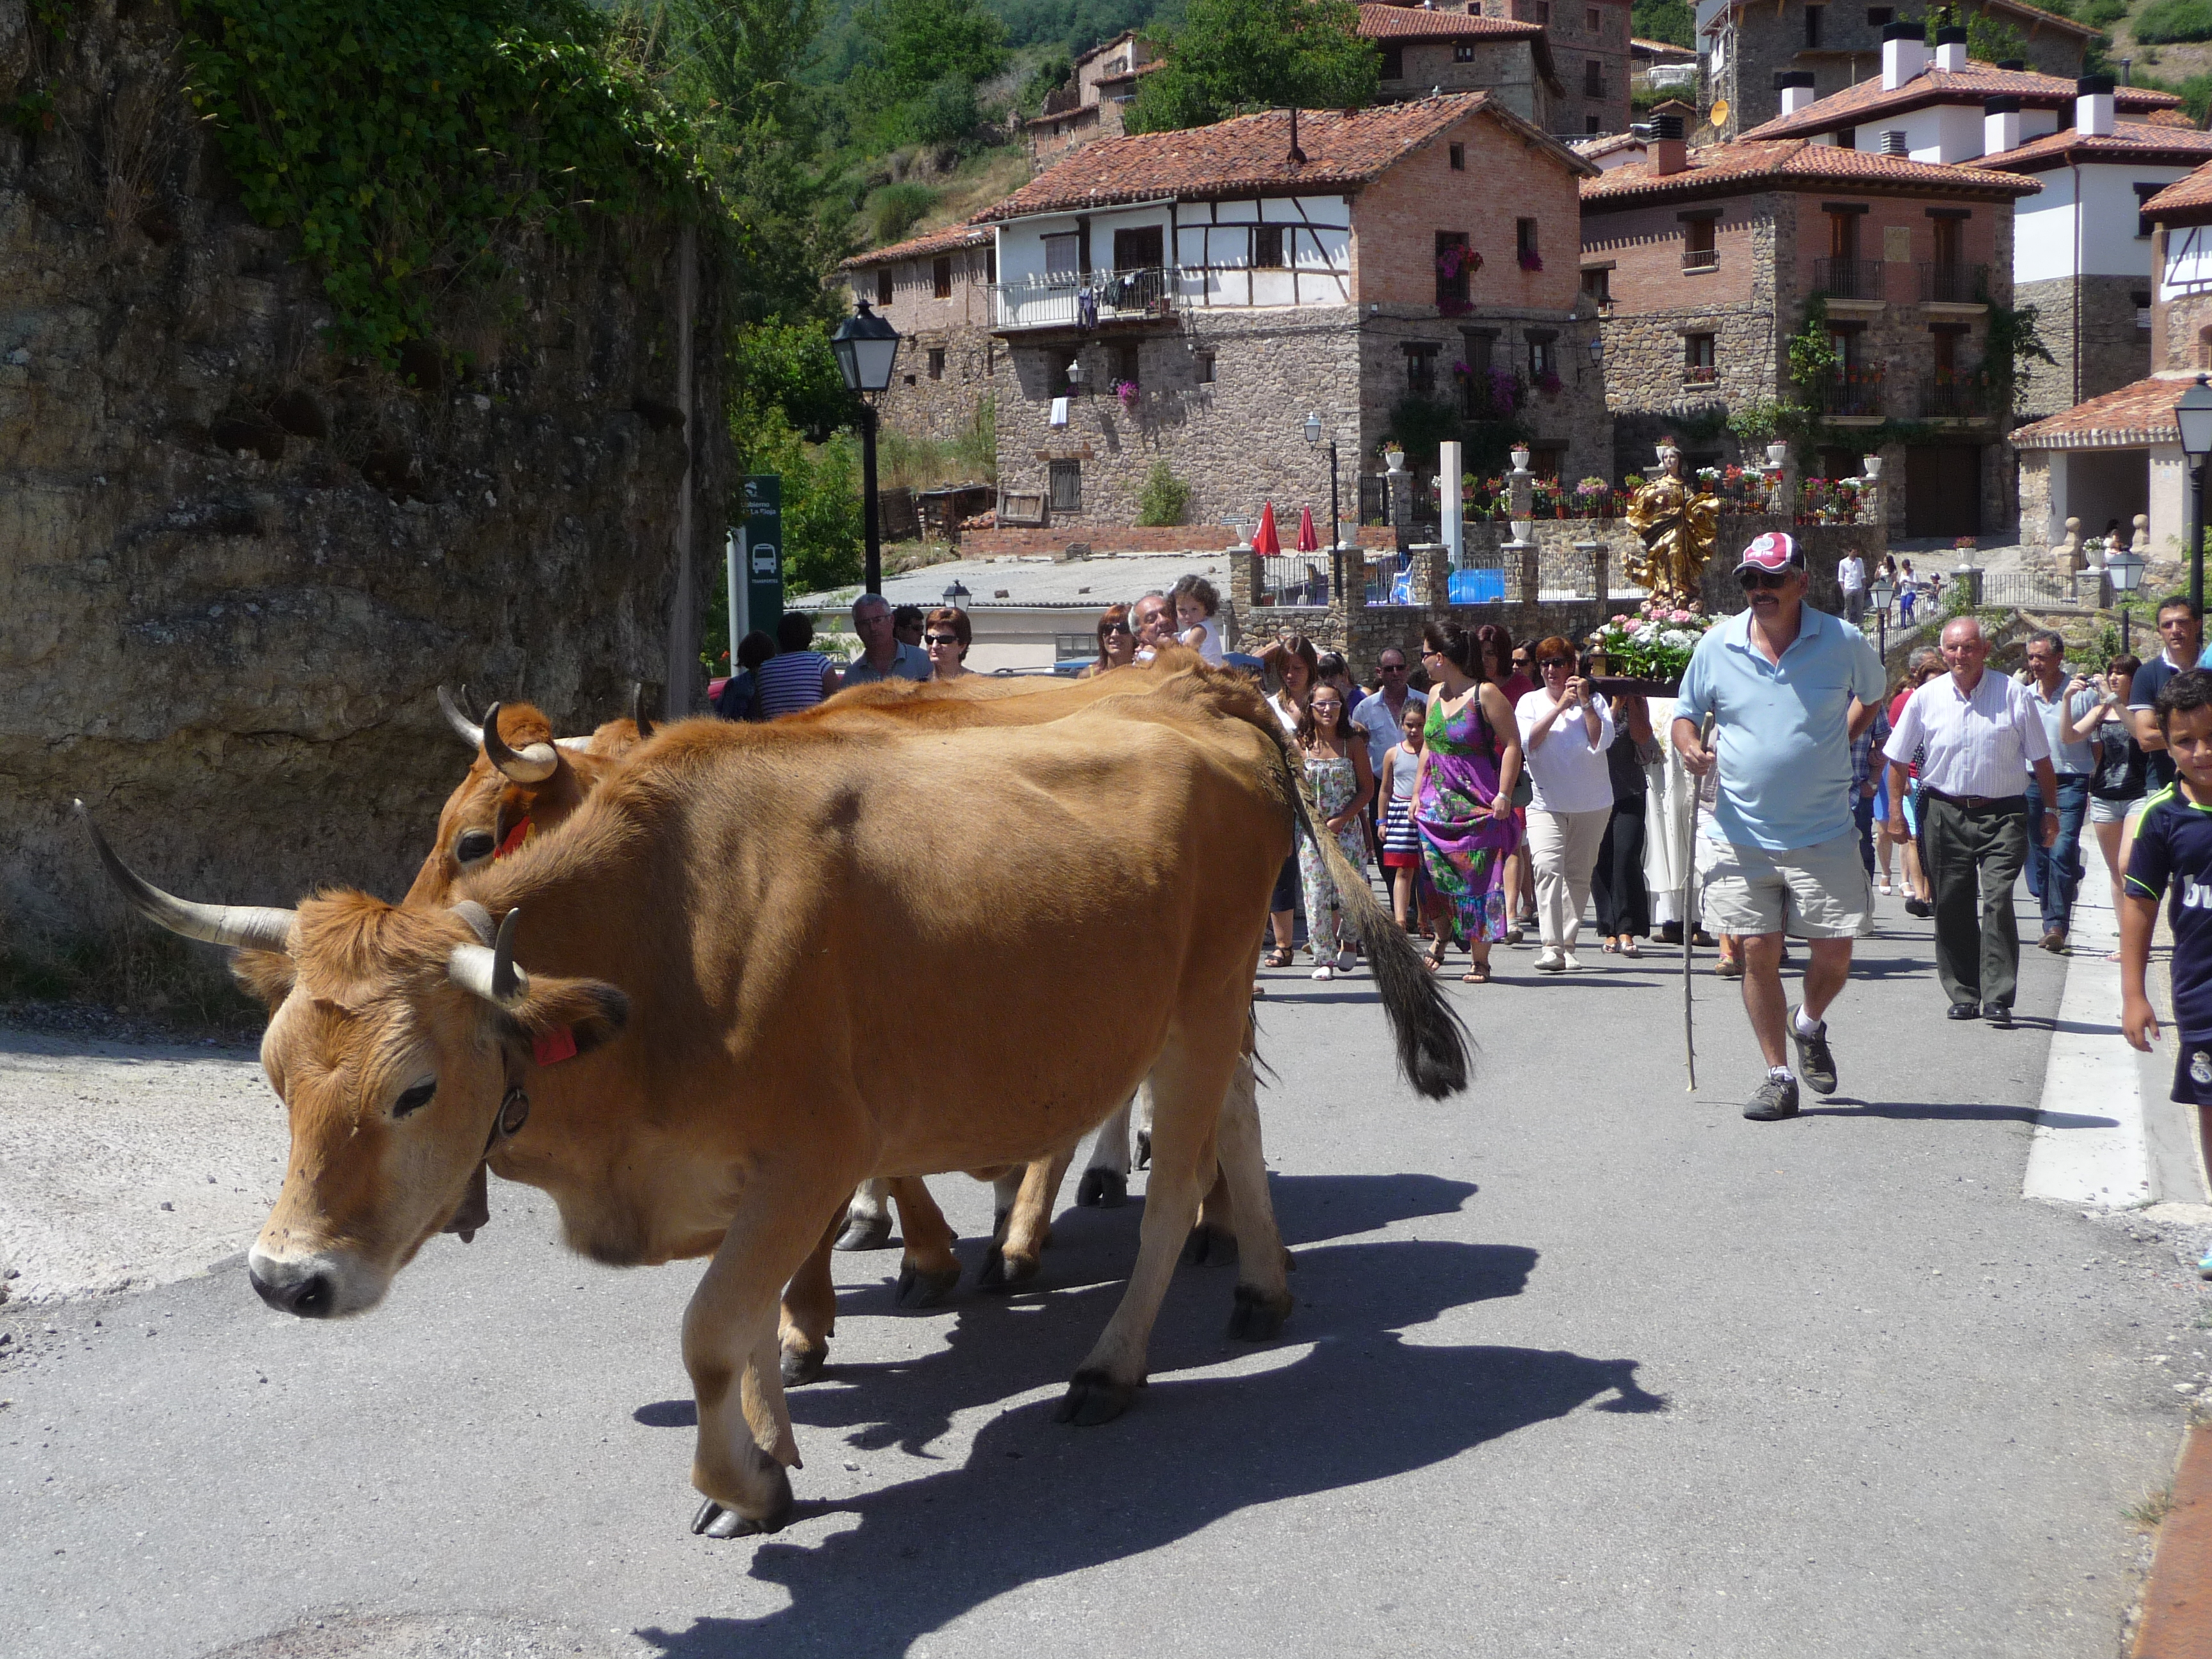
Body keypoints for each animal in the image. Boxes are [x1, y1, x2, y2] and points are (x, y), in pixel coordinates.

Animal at [79, 657, 1466, 1537]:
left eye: (416, 1088)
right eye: (273, 1077)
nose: (286, 1279)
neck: (663, 944)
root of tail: (1218, 709)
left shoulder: (817, 1149)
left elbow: (706, 1328)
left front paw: (747, 1477)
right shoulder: (741, 1172)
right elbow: (740, 1326)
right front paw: (775, 1434)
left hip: (1208, 991)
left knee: (1178, 1181)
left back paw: (1112, 1357)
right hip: (1188, 1005)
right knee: (1230, 1124)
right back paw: (1259, 1285)